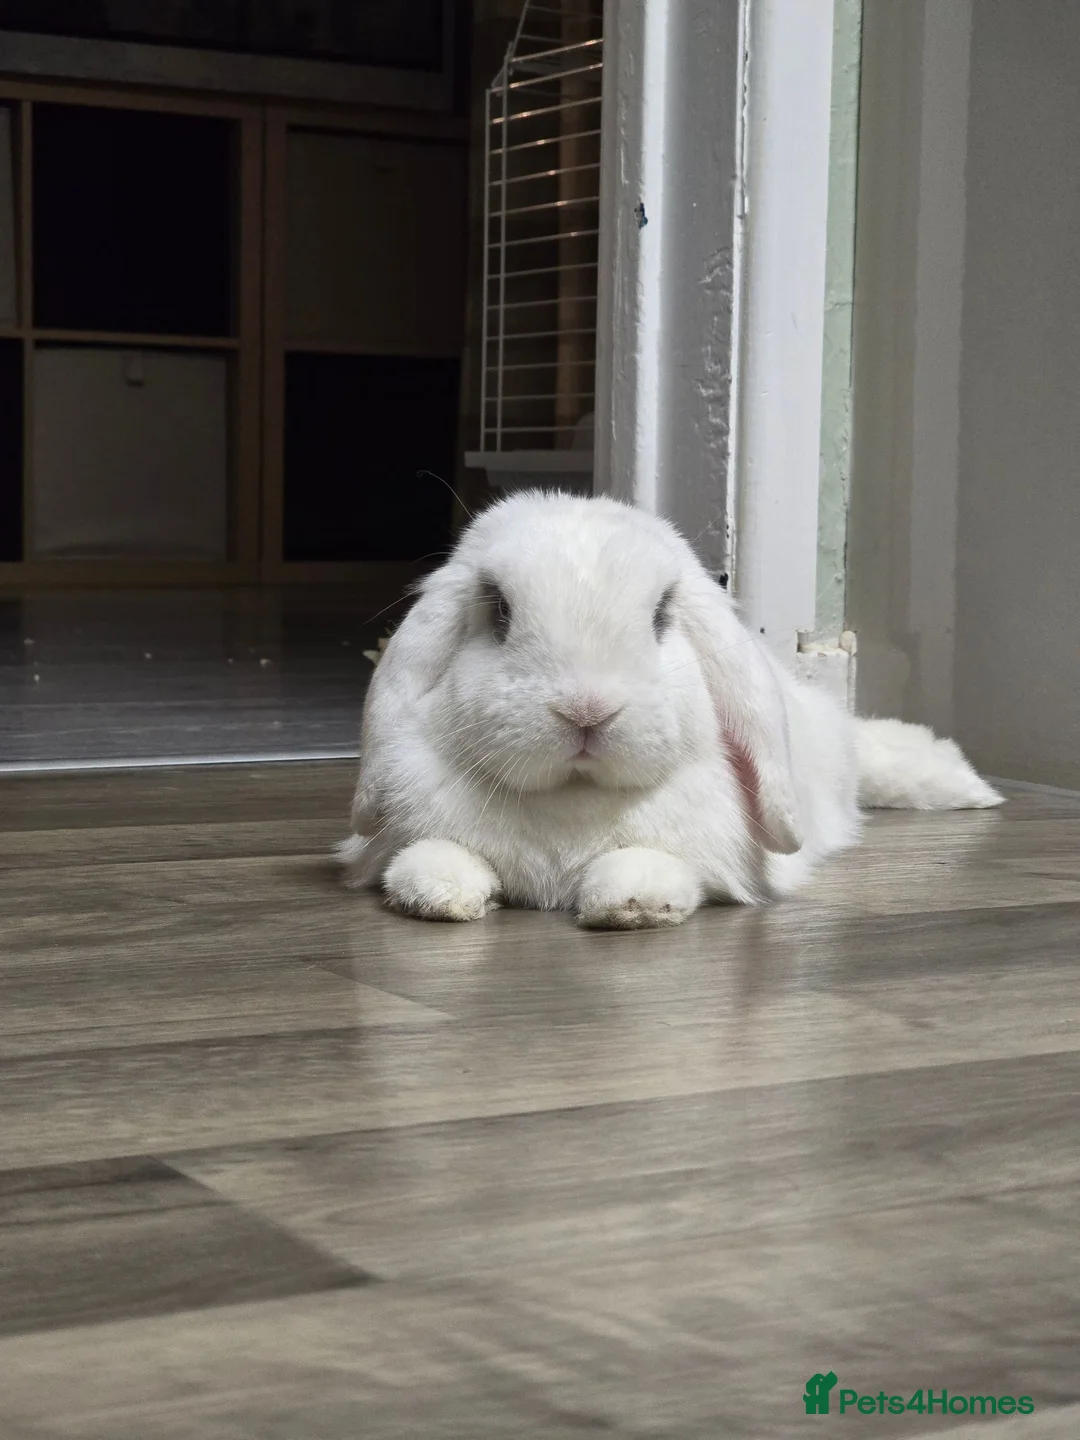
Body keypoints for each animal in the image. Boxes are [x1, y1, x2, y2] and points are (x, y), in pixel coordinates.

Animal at [337, 491, 1002, 929]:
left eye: (660, 614)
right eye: (499, 610)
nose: (587, 710)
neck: (574, 797)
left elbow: (650, 865)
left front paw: (631, 903)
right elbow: (431, 858)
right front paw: (439, 895)